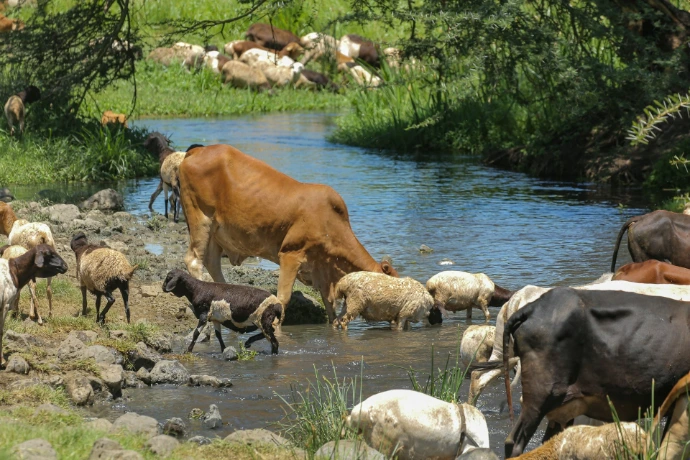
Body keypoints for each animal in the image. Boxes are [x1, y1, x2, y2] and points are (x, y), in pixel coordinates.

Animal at [177, 144, 398, 323]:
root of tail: (196, 151)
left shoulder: (322, 272)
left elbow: (330, 306)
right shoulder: (291, 255)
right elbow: (283, 299)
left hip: (216, 232)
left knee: (212, 262)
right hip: (200, 217)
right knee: (194, 260)